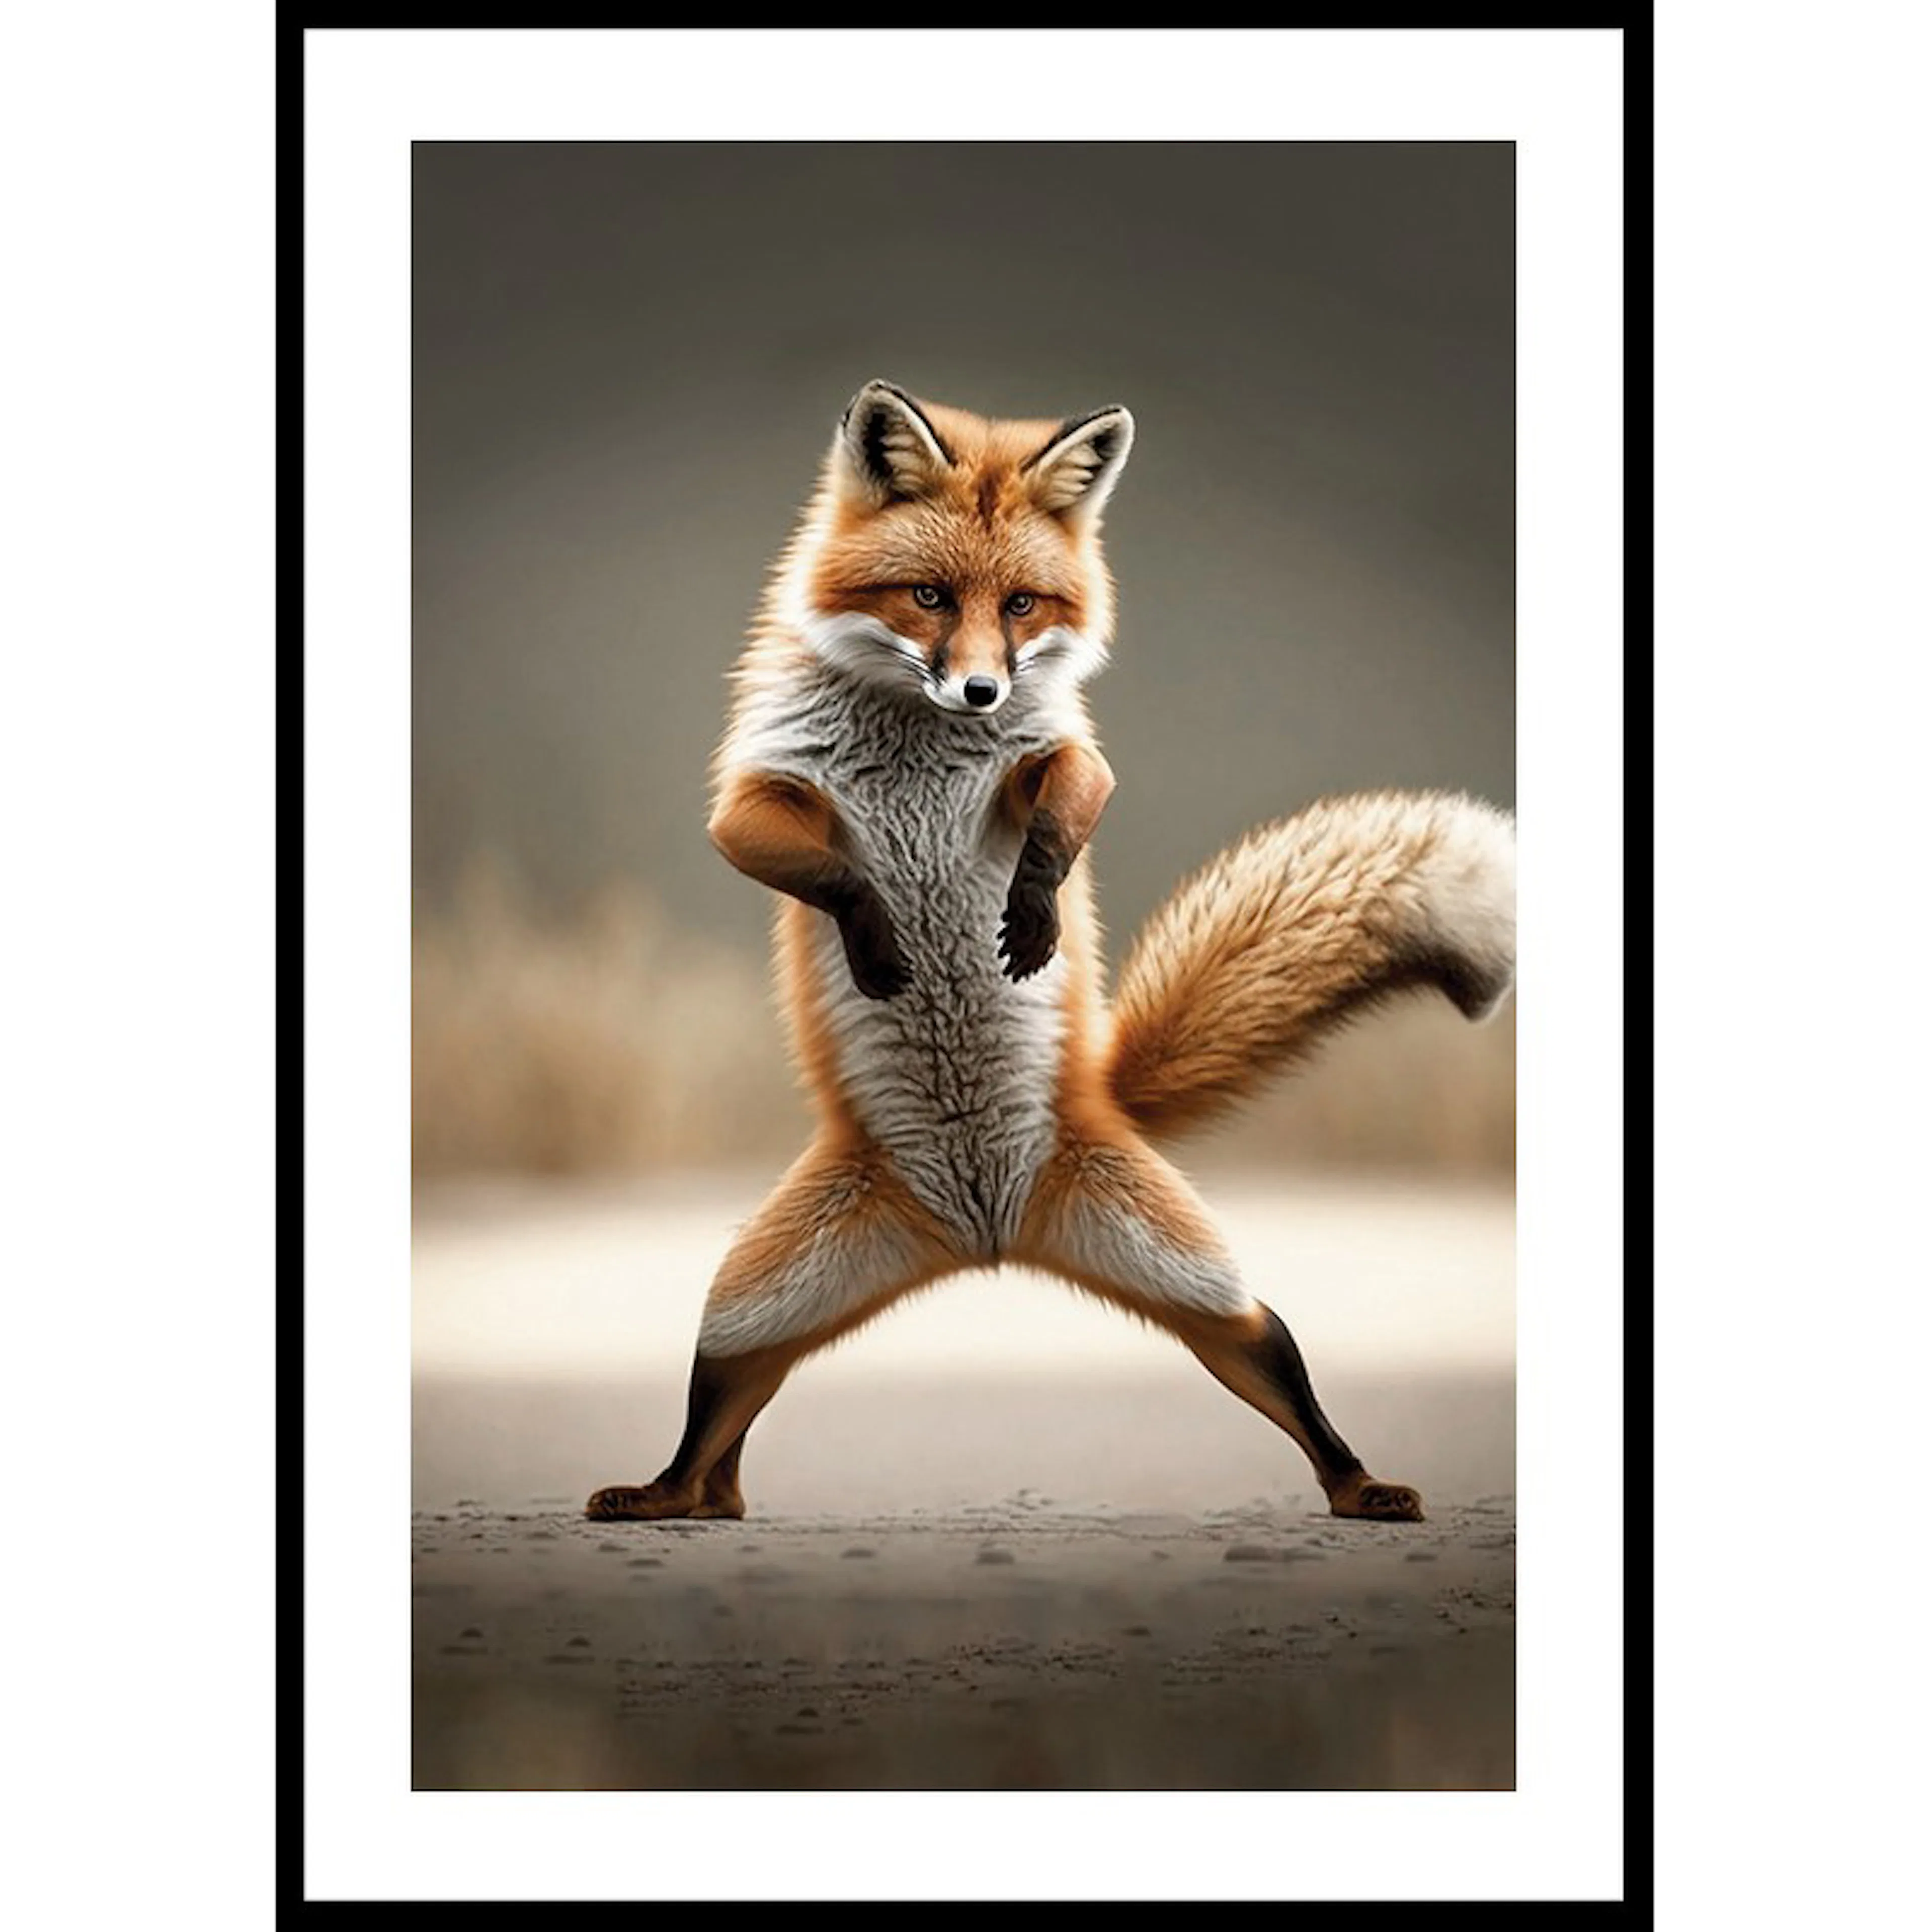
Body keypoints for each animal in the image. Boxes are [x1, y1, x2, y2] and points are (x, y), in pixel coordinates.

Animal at [585, 379, 1515, 1527]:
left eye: (1022, 606)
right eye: (930, 597)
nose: (981, 693)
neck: (918, 746)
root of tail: (985, 1239)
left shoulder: (1059, 757)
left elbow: (1071, 804)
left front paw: (1031, 914)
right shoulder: (759, 795)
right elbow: (832, 873)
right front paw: (882, 936)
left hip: (1195, 1286)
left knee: (1276, 1353)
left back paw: (1361, 1487)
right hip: (750, 1309)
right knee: (721, 1424)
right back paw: (675, 1497)